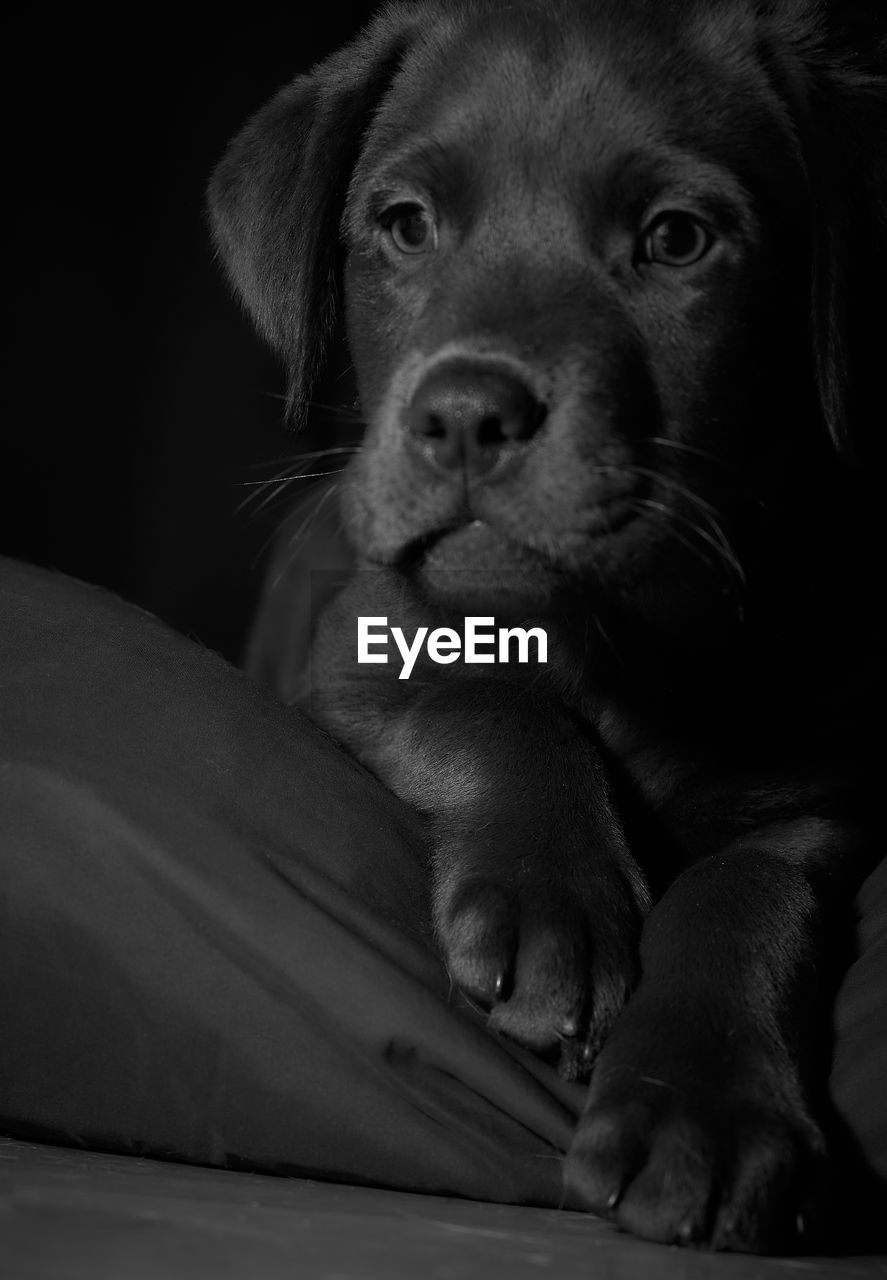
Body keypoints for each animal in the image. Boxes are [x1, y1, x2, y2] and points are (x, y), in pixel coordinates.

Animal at [209, 0, 885, 1254]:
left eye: (676, 239)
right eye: (404, 225)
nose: (467, 413)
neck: (626, 645)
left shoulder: (822, 787)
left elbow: (747, 889)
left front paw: (700, 1107)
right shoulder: (358, 639)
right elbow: (483, 697)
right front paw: (549, 904)